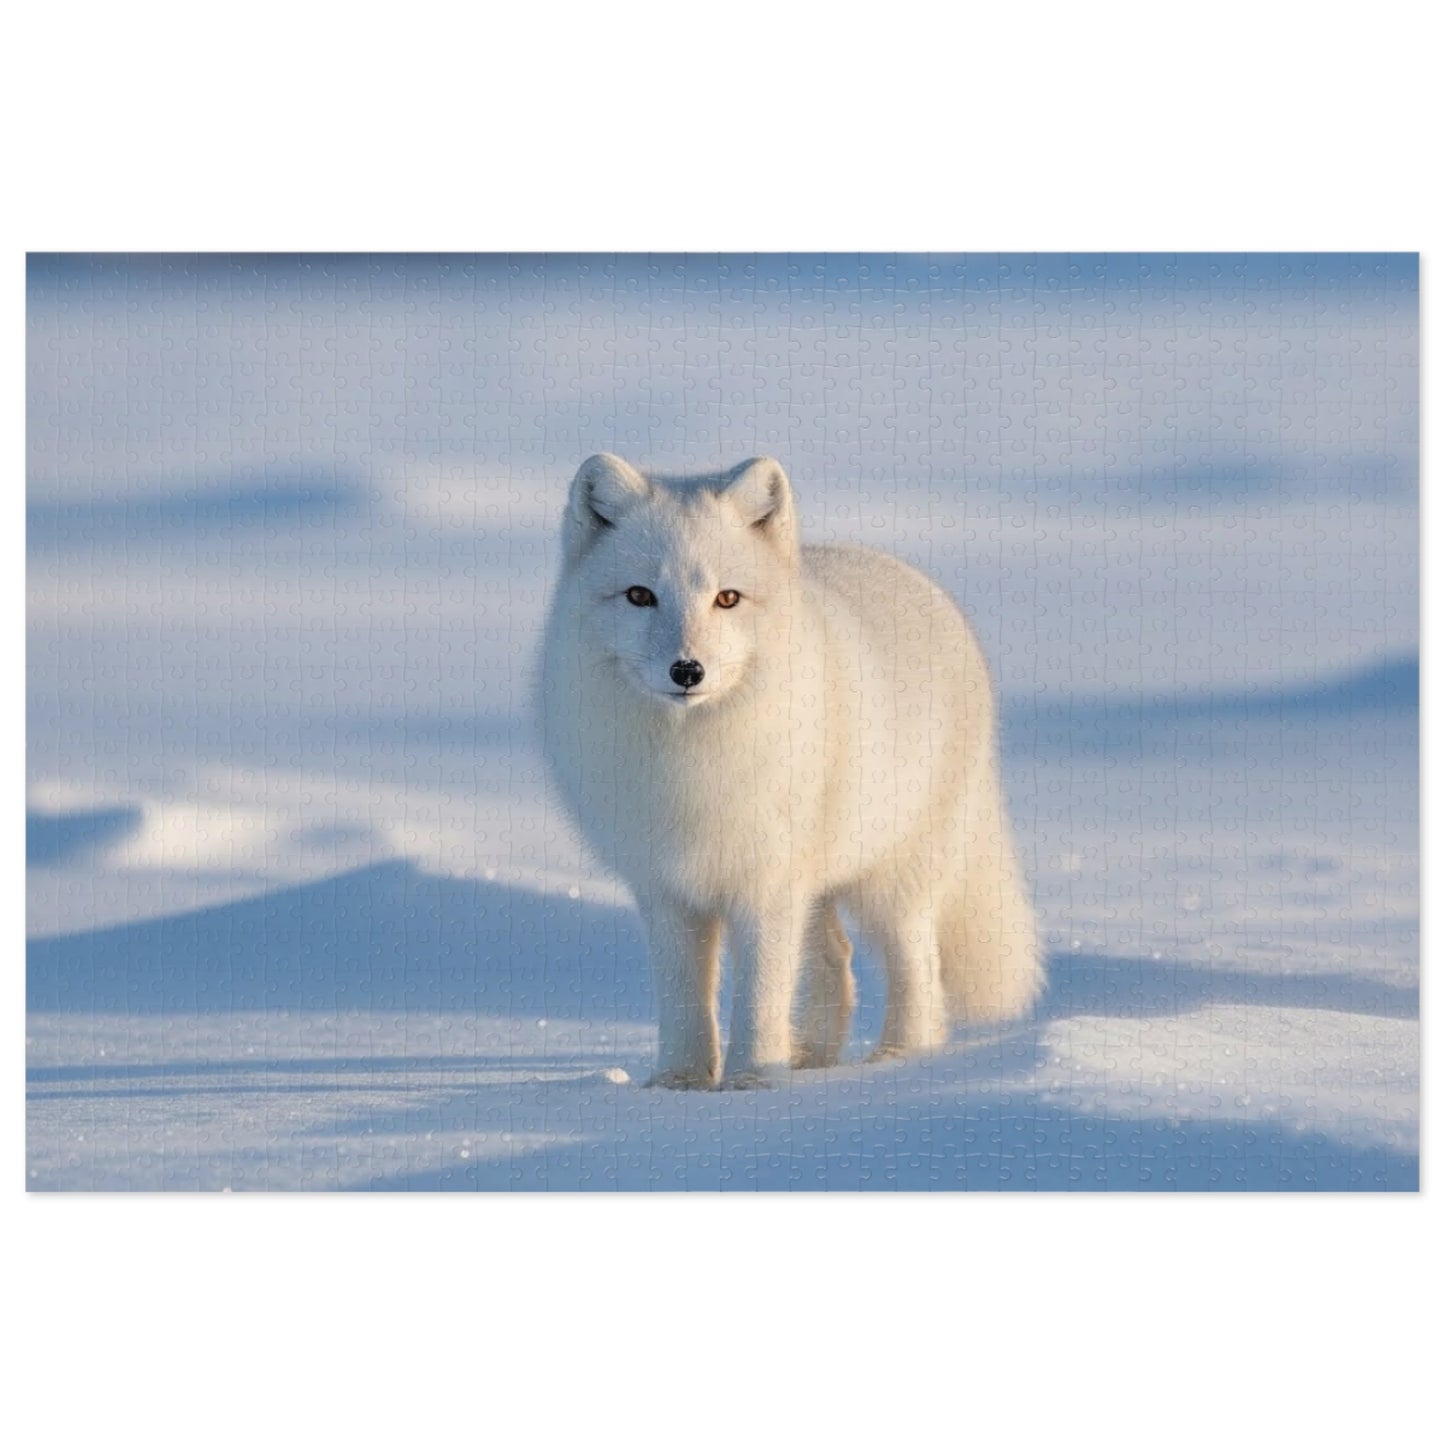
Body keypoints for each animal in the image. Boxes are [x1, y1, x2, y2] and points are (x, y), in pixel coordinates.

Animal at [537, 453, 1042, 1088]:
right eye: (639, 595)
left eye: (727, 598)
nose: (687, 670)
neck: (692, 759)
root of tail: (924, 586)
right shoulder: (667, 888)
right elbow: (684, 997)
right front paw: (681, 1083)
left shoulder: (766, 884)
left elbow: (759, 993)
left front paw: (753, 1080)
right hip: (818, 883)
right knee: (833, 959)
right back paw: (810, 1061)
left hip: (893, 877)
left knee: (918, 967)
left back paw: (898, 1061)